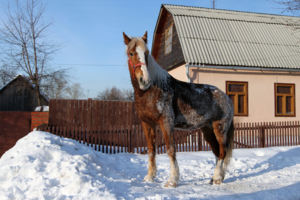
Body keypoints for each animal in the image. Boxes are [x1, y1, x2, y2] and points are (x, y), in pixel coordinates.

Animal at [122, 31, 234, 188]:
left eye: (146, 53)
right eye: (131, 53)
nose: (145, 80)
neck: (153, 90)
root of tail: (227, 98)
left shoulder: (166, 122)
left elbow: (170, 149)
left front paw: (172, 180)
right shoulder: (147, 123)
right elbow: (151, 149)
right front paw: (149, 177)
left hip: (220, 129)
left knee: (223, 151)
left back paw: (218, 178)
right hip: (207, 130)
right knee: (217, 152)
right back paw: (215, 178)